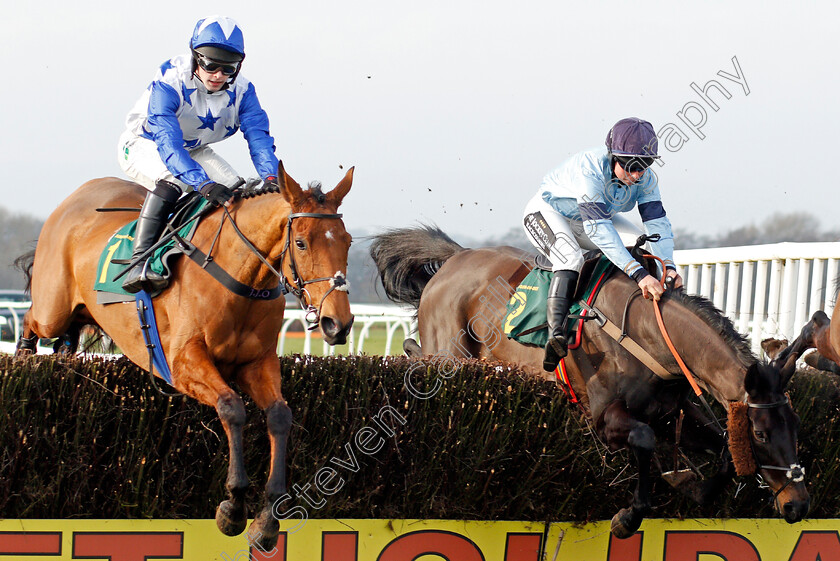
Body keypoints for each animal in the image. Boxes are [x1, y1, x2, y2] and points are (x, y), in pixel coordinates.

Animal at [17, 162, 352, 548]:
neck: (240, 278)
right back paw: (22, 359)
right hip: (52, 310)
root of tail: (76, 197)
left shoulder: (257, 363)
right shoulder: (181, 362)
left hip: (78, 316)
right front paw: (233, 506)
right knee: (30, 320)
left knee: (64, 346)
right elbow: (232, 408)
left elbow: (280, 416)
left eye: (347, 241)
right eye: (300, 242)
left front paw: (267, 518)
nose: (338, 323)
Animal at [372, 226, 808, 540]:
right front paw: (628, 517)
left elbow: (723, 451)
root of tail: (456, 257)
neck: (648, 335)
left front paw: (698, 489)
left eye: (795, 426)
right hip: (450, 351)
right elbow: (644, 439)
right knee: (419, 353)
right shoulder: (603, 415)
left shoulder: (675, 414)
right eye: (761, 433)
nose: (798, 505)